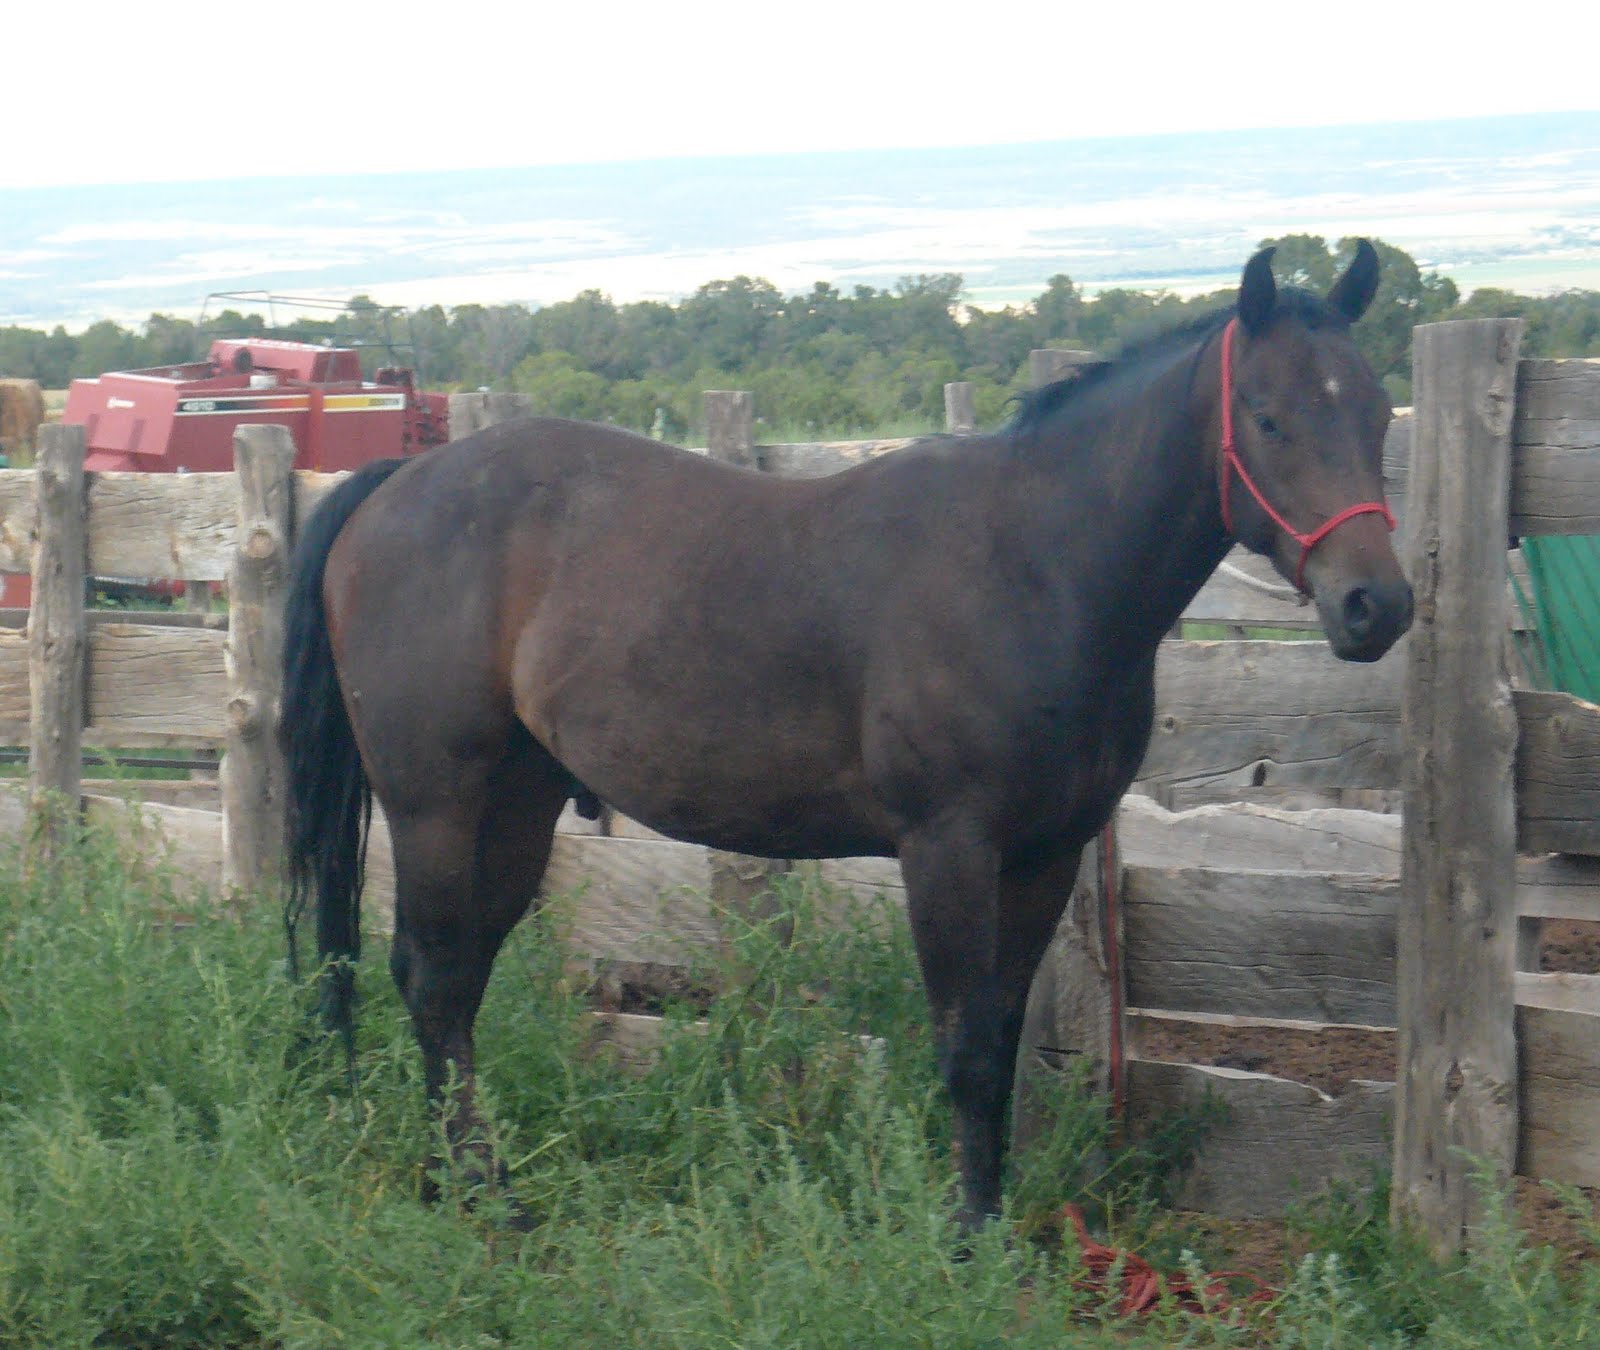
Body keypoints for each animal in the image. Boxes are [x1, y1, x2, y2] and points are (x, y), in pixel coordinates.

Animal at [280, 242, 1411, 1232]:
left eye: (1371, 412)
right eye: (1267, 417)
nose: (1376, 605)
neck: (1035, 565)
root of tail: (395, 486)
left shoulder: (1044, 855)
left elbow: (1003, 1038)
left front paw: (998, 1222)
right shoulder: (946, 846)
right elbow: (964, 1045)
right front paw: (966, 1238)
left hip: (517, 806)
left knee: (457, 980)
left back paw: (461, 1177)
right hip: (436, 805)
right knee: (430, 975)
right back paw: (483, 1193)